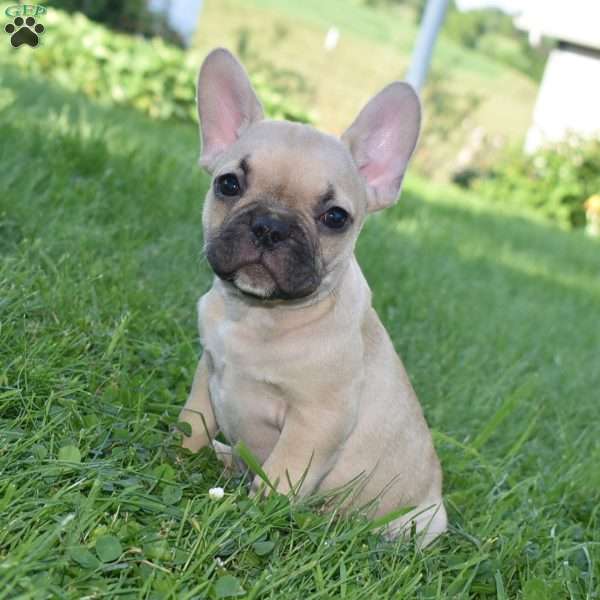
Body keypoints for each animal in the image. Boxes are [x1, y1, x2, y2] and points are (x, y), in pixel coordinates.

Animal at [180, 49, 448, 548]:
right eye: (228, 184)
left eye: (335, 217)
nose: (270, 226)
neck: (259, 317)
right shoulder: (207, 373)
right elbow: (192, 423)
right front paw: (176, 455)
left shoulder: (316, 423)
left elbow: (281, 475)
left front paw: (257, 516)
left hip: (413, 522)